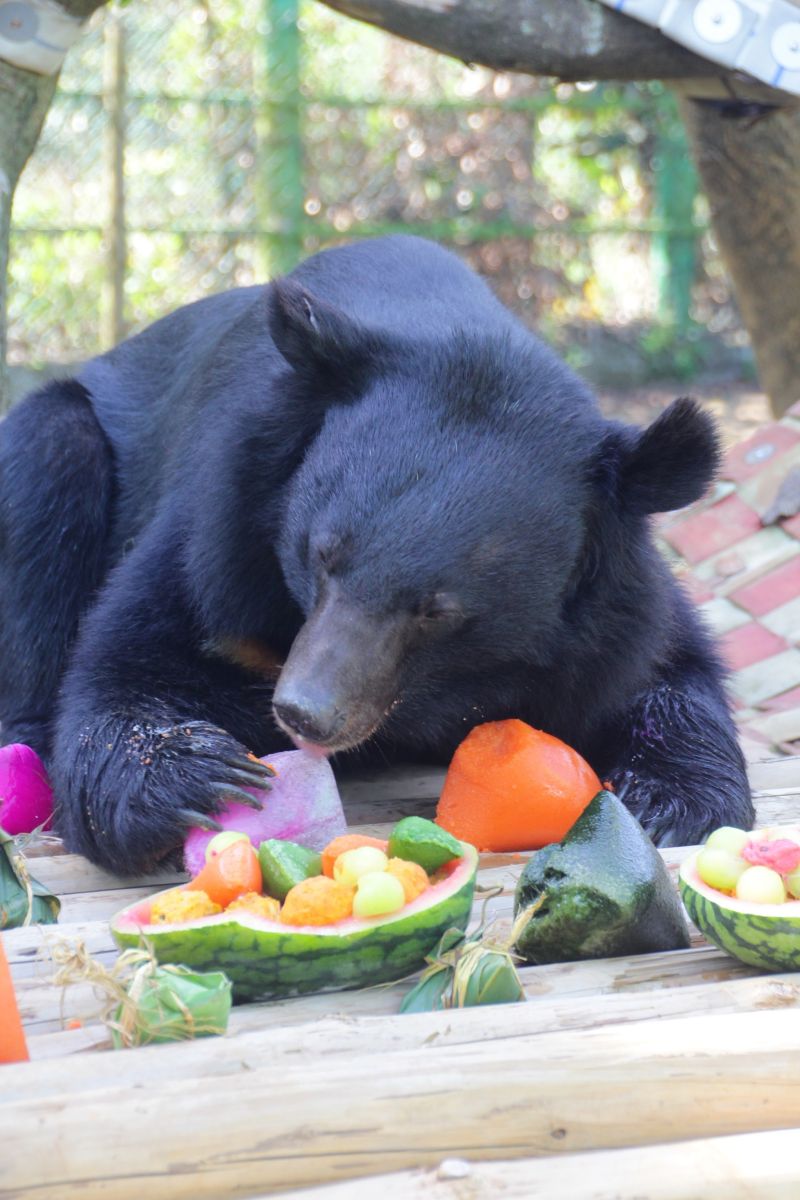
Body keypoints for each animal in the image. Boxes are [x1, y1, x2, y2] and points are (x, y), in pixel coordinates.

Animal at [0, 236, 753, 873]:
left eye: (436, 611)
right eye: (320, 556)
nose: (303, 713)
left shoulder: (613, 602)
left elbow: (660, 669)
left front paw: (671, 802)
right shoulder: (217, 516)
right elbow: (126, 668)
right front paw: (203, 778)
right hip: (52, 443)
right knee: (51, 470)